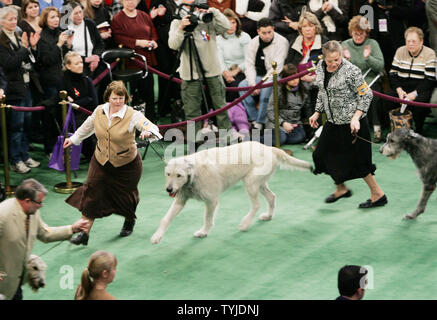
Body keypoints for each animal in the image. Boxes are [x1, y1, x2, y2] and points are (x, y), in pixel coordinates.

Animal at [151, 141, 314, 244]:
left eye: (179, 175)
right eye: (168, 174)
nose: (169, 189)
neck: (194, 174)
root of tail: (269, 148)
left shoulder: (211, 201)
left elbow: (208, 219)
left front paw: (203, 232)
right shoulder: (180, 200)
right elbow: (165, 219)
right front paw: (157, 237)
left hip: (250, 183)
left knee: (256, 204)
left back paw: (245, 223)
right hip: (260, 184)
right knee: (272, 197)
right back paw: (268, 216)